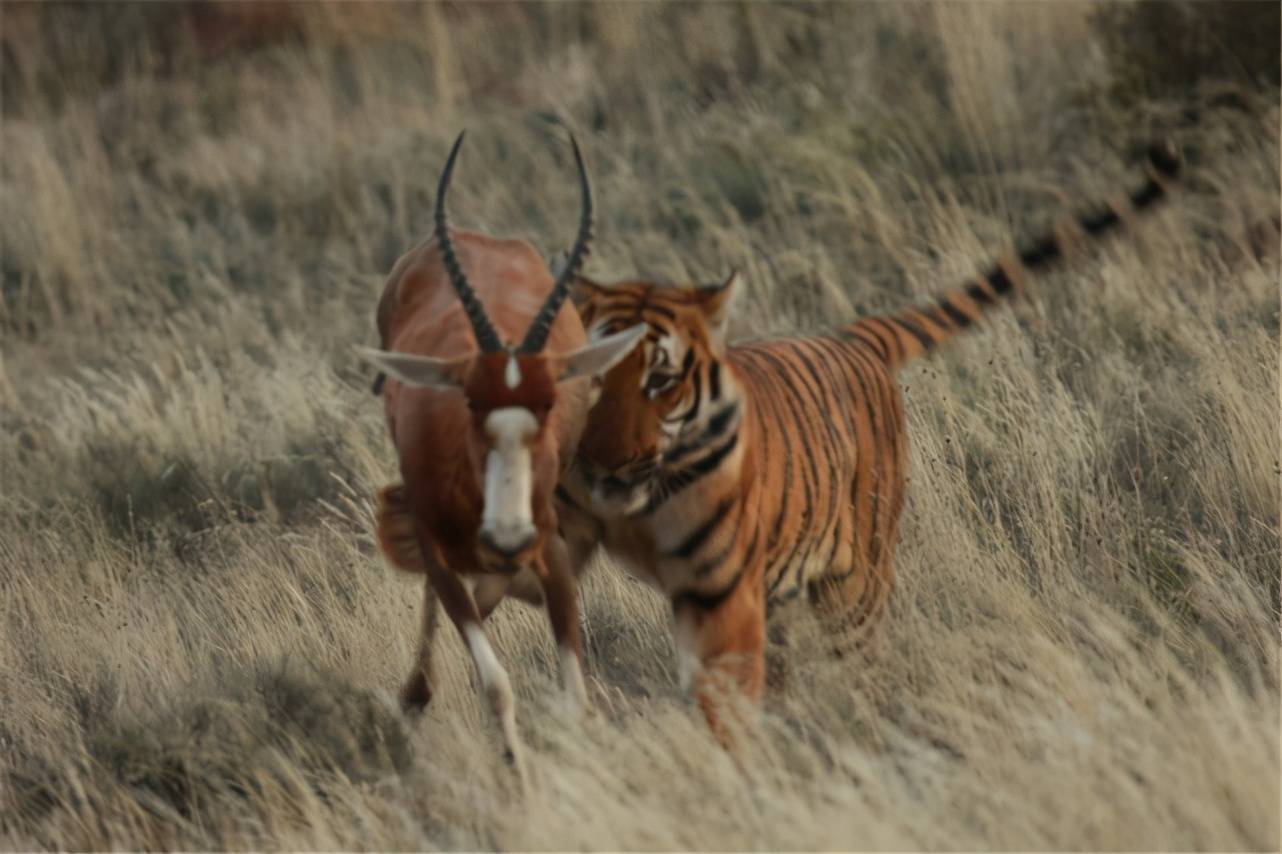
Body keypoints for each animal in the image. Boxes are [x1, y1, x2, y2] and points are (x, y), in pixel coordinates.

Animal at [358, 131, 641, 769]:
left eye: (549, 403)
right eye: (468, 401)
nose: (507, 537)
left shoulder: (552, 555)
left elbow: (575, 694)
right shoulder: (440, 558)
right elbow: (495, 684)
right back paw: (414, 695)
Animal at [553, 141, 1179, 733]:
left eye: (661, 380)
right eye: (595, 375)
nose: (610, 465)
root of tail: (851, 337)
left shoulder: (722, 591)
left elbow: (724, 702)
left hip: (855, 580)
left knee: (864, 665)